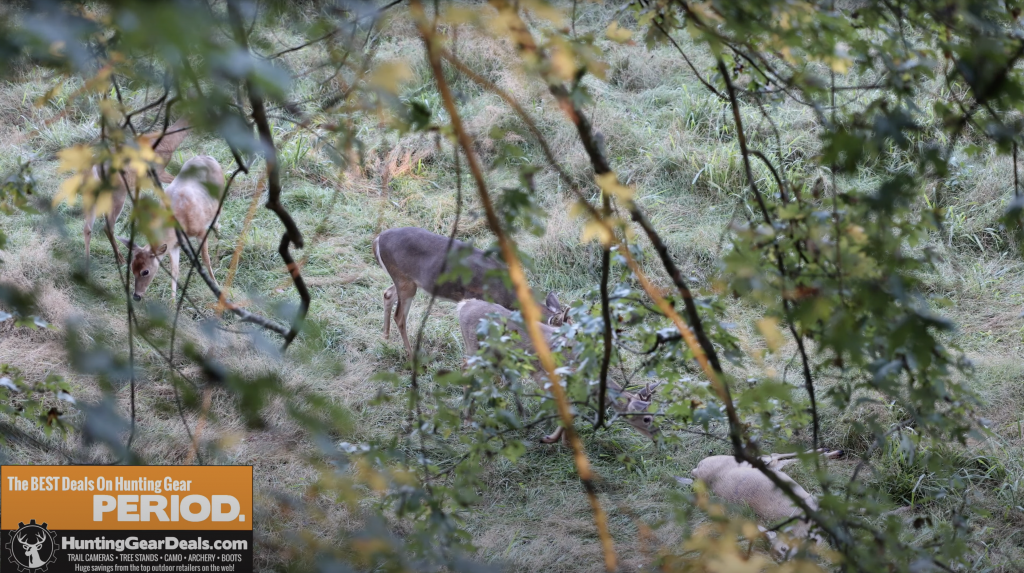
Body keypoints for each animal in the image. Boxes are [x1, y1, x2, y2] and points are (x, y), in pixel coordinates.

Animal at [83, 117, 190, 269]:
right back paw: (120, 260)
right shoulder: (158, 171)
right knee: (107, 226)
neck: (169, 141)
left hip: (93, 193)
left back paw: (87, 262)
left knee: (87, 227)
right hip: (118, 191)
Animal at [118, 155, 223, 302]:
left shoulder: (201, 231)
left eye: (145, 271)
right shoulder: (174, 244)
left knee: (218, 225)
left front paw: (216, 285)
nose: (136, 296)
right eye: (132, 268)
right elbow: (174, 270)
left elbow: (205, 259)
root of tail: (208, 157)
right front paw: (173, 301)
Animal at [373, 227, 567, 358]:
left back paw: (385, 337)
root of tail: (377, 239)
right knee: (400, 316)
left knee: (387, 294)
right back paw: (410, 354)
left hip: (408, 281)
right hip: (404, 280)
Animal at [456, 298, 660, 444]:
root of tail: (463, 305)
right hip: (478, 350)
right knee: (465, 367)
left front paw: (564, 440)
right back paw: (467, 419)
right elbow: (567, 411)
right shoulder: (549, 378)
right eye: (647, 418)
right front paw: (551, 439)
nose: (657, 435)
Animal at [685, 448, 844, 560]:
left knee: (774, 455)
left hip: (747, 461)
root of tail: (696, 470)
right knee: (780, 462)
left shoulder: (815, 502)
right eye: (778, 560)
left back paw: (831, 451)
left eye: (784, 548)